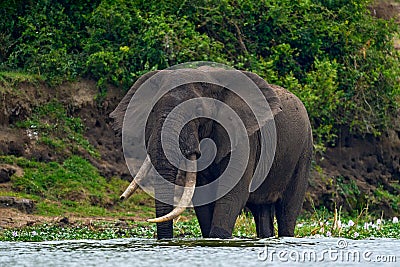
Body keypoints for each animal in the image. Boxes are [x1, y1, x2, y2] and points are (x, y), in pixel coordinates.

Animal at [110, 67, 312, 241]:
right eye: (151, 110)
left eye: (198, 111)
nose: (120, 198)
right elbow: (203, 196)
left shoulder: (245, 138)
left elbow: (232, 193)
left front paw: (218, 238)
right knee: (261, 211)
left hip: (304, 152)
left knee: (287, 211)